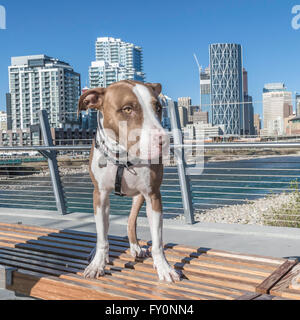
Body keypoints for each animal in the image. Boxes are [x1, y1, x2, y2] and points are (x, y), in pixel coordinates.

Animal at [78, 80, 180, 282]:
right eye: (127, 109)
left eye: (158, 108)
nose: (164, 140)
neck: (123, 156)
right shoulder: (100, 195)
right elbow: (102, 236)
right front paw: (98, 263)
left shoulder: (153, 195)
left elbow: (157, 241)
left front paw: (164, 267)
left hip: (138, 197)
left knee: (131, 221)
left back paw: (135, 247)